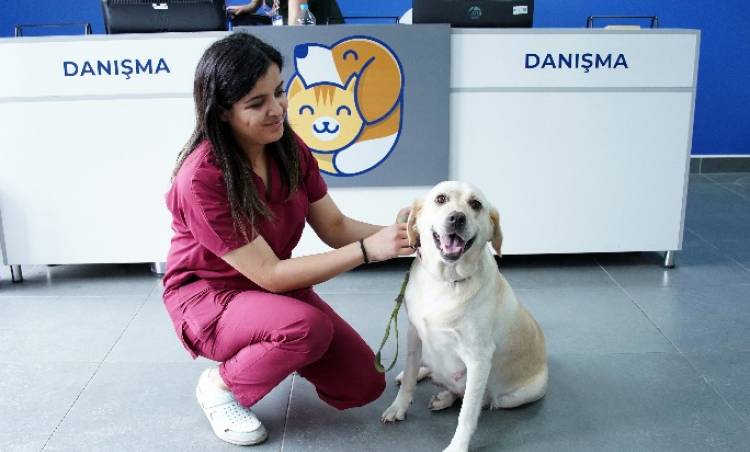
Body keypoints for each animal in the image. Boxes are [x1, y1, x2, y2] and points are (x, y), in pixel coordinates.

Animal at [381, 181, 548, 452]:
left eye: (476, 204)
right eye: (440, 199)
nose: (457, 218)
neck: (446, 281)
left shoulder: (479, 359)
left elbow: (468, 414)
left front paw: (457, 447)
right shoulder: (414, 334)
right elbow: (408, 383)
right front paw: (399, 407)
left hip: (515, 395)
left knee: (480, 398)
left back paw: (445, 396)